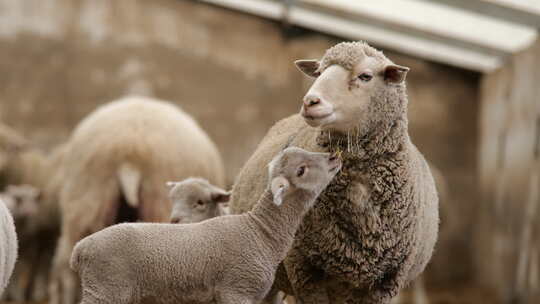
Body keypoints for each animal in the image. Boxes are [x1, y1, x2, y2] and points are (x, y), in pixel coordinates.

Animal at [70, 147, 342, 304]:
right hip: (105, 288)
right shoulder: (237, 290)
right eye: (301, 170)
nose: (333, 156)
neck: (260, 232)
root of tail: (81, 248)